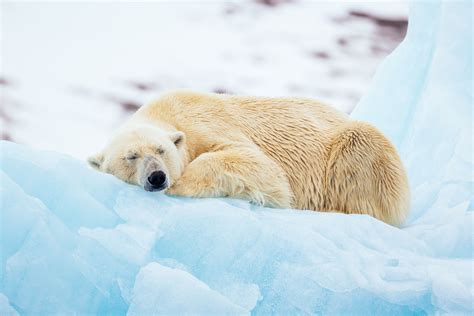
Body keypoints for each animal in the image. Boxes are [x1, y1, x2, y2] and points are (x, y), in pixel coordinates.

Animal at [90, 90, 412, 226]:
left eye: (161, 150)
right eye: (131, 157)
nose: (157, 177)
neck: (167, 112)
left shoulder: (206, 124)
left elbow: (259, 166)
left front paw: (182, 183)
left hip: (357, 150)